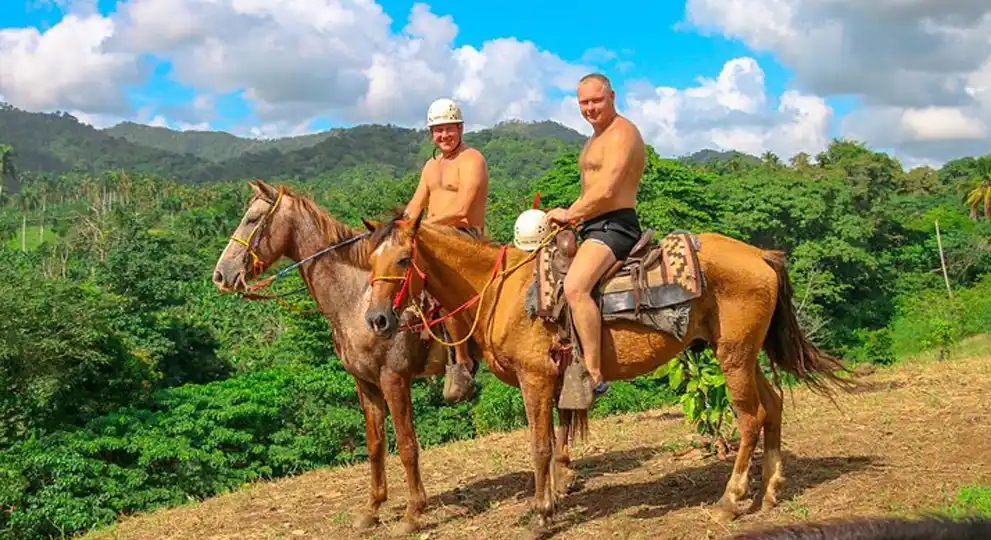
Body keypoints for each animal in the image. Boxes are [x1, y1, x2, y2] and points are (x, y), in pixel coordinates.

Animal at [215, 179, 456, 532]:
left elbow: (407, 444)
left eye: (251, 218)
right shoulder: (365, 383)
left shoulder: (394, 378)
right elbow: (375, 445)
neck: (358, 301)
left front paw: (413, 513)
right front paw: (372, 508)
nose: (220, 274)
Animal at [362, 211, 852, 536]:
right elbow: (554, 442)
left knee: (751, 418)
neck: (504, 290)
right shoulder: (552, 382)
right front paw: (554, 500)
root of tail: (761, 255)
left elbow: (540, 447)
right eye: (370, 261)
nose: (377, 319)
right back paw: (769, 490)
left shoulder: (535, 379)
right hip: (743, 354)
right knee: (774, 406)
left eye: (403, 260)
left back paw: (730, 501)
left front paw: (542, 515)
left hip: (733, 358)